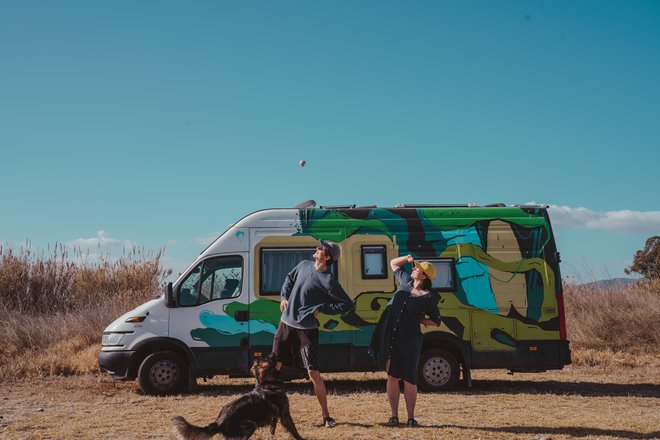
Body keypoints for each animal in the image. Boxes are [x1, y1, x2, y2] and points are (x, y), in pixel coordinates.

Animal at [170, 358, 304, 440]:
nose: (274, 353)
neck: (266, 383)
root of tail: (218, 422)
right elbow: (294, 430)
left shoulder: (275, 416)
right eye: (269, 359)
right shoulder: (285, 415)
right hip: (250, 425)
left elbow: (273, 427)